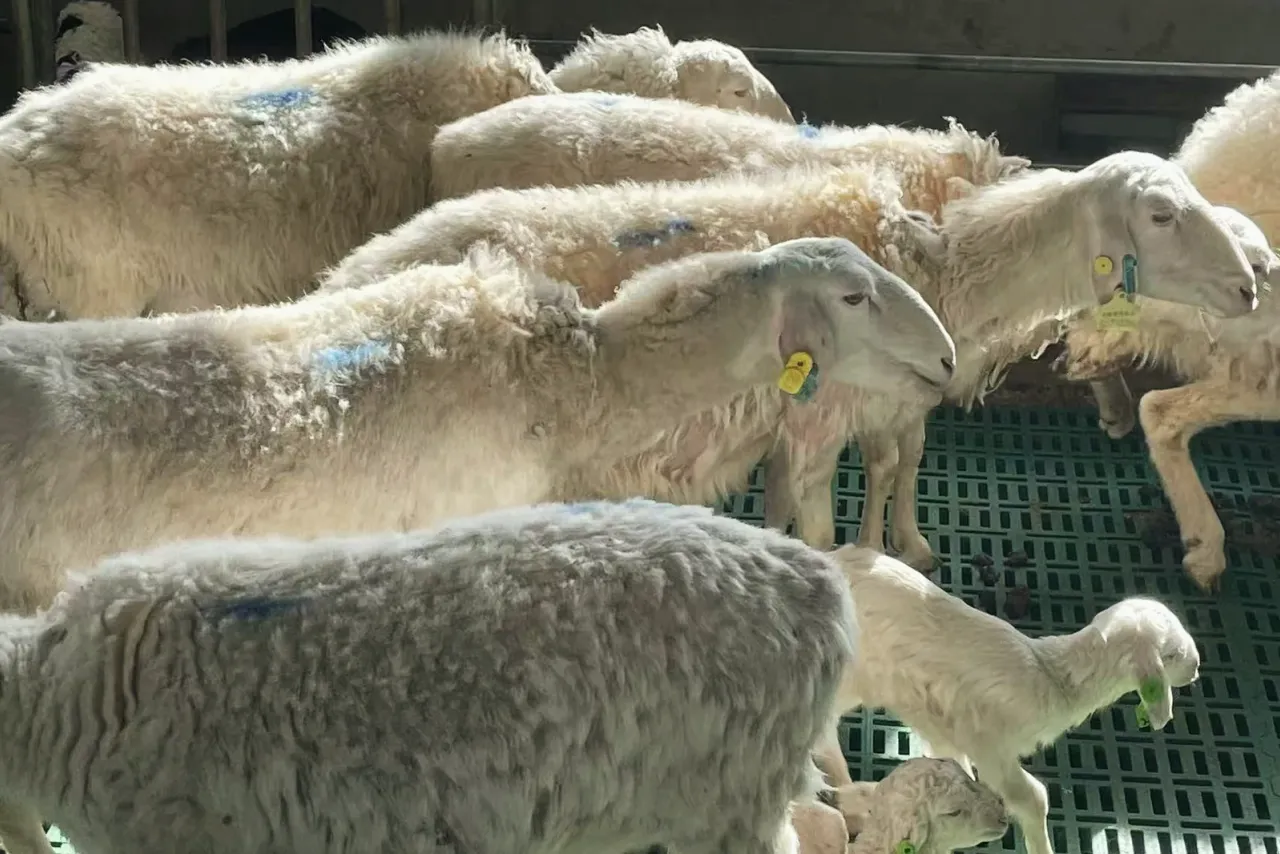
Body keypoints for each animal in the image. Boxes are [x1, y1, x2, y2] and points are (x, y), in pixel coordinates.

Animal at [315, 151, 1257, 569]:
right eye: (1163, 215)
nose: (1251, 287)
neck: (946, 269)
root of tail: (348, 272)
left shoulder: (875, 404)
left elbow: (896, 464)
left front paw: (902, 546)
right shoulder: (814, 419)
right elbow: (823, 517)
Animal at [815, 545, 1200, 854]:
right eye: (1172, 653)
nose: (1196, 669)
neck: (1051, 678)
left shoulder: (946, 727)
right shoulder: (990, 745)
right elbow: (1031, 798)